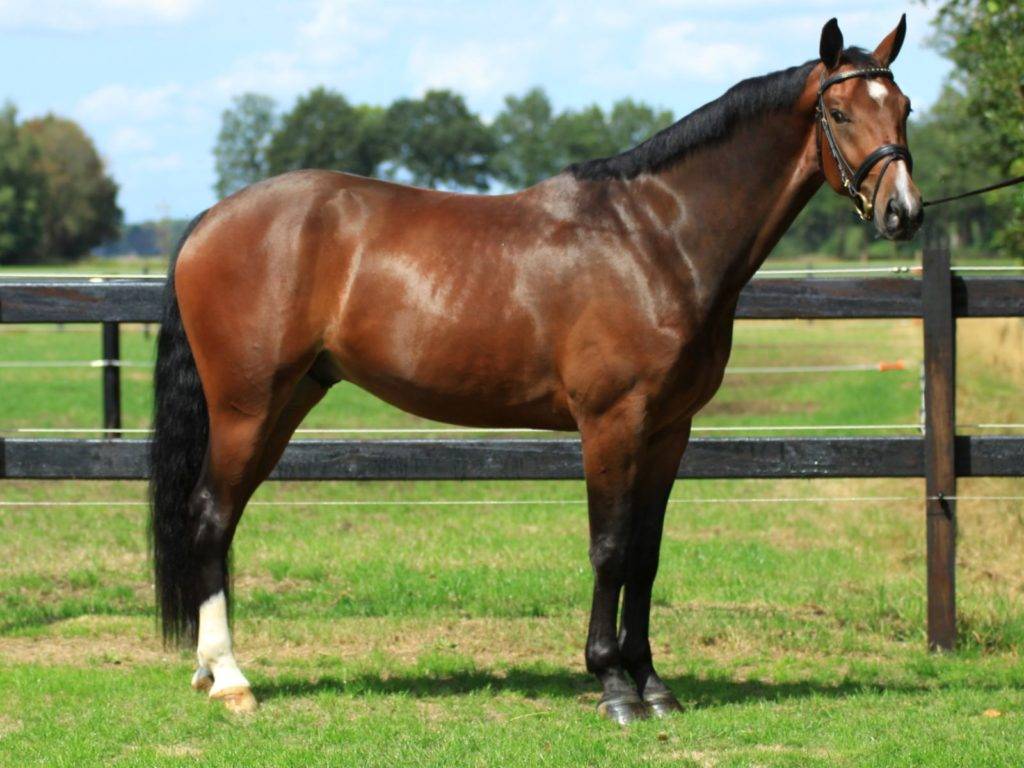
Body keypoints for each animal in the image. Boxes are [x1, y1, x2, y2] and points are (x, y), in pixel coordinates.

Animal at [149, 16, 922, 723]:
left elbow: (646, 554)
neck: (655, 239)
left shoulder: (669, 431)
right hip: (247, 407)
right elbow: (610, 549)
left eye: (906, 107)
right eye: (840, 112)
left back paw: (209, 671)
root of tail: (211, 218)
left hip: (287, 402)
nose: (904, 213)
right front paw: (613, 686)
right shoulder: (612, 423)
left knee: (223, 517)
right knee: (210, 514)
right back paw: (231, 679)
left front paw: (653, 684)